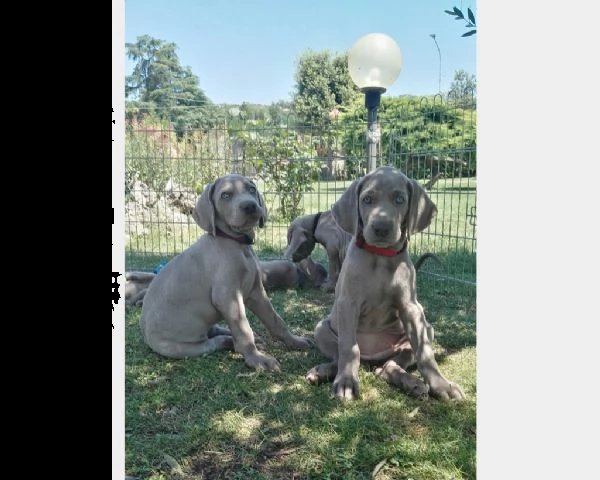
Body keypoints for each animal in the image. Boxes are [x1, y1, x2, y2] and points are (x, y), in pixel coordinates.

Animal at [139, 173, 312, 372]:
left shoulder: (257, 292)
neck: (237, 244)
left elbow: (275, 320)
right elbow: (244, 330)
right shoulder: (228, 297)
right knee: (217, 341)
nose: (250, 206)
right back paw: (235, 343)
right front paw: (257, 359)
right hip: (185, 347)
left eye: (251, 189)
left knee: (217, 330)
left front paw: (294, 341)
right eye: (225, 195)